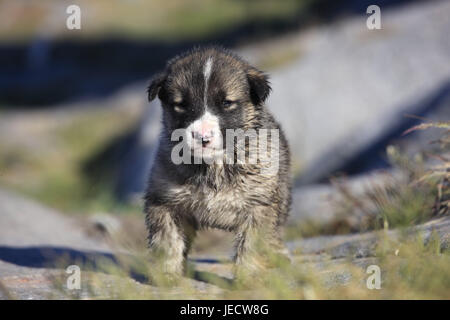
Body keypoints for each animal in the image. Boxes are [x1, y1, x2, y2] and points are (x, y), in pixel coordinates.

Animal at [144, 45, 292, 278]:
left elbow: (251, 245)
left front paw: (249, 277)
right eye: (181, 105)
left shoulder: (259, 206)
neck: (213, 166)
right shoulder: (163, 201)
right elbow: (167, 240)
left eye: (226, 103)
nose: (202, 136)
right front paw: (167, 274)